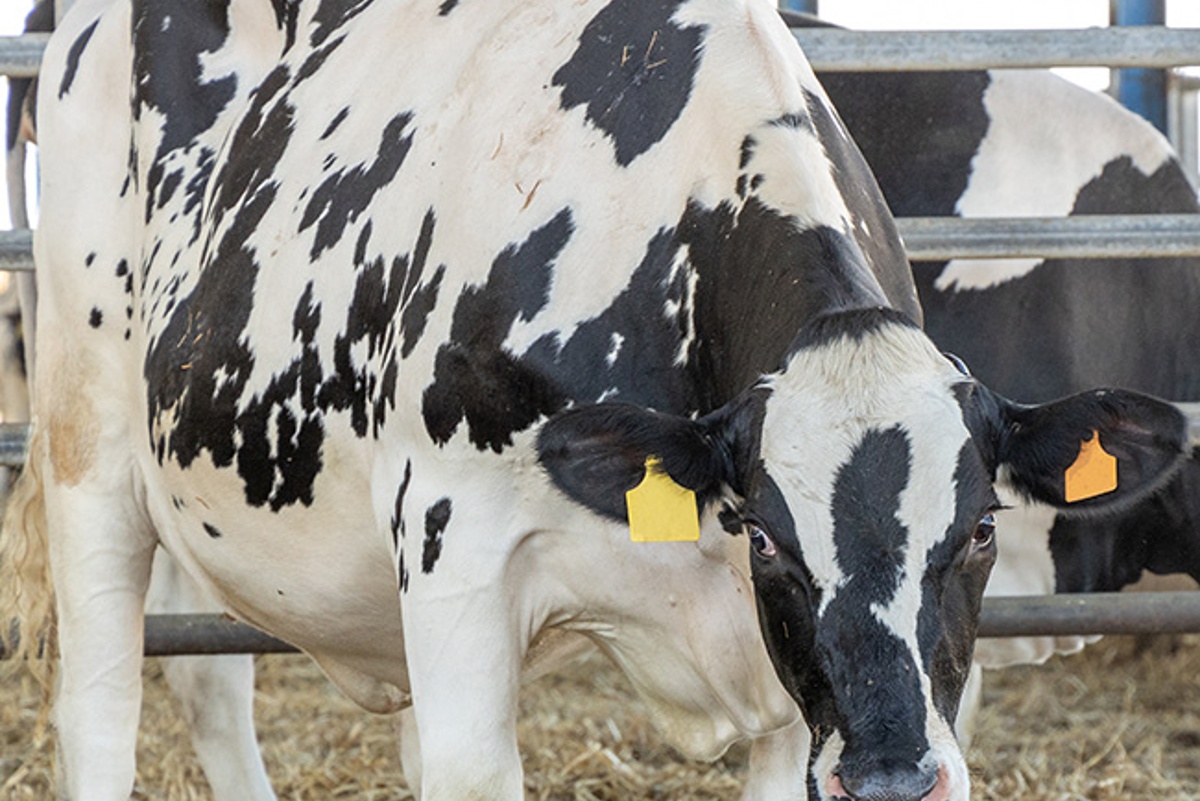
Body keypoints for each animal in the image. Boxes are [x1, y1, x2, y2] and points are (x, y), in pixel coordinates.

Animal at [0, 2, 1190, 800]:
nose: (895, 778)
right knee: (101, 708)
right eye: (769, 538)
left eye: (981, 526)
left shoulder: (785, 703)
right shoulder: (455, 559)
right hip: (87, 443)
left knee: (218, 682)